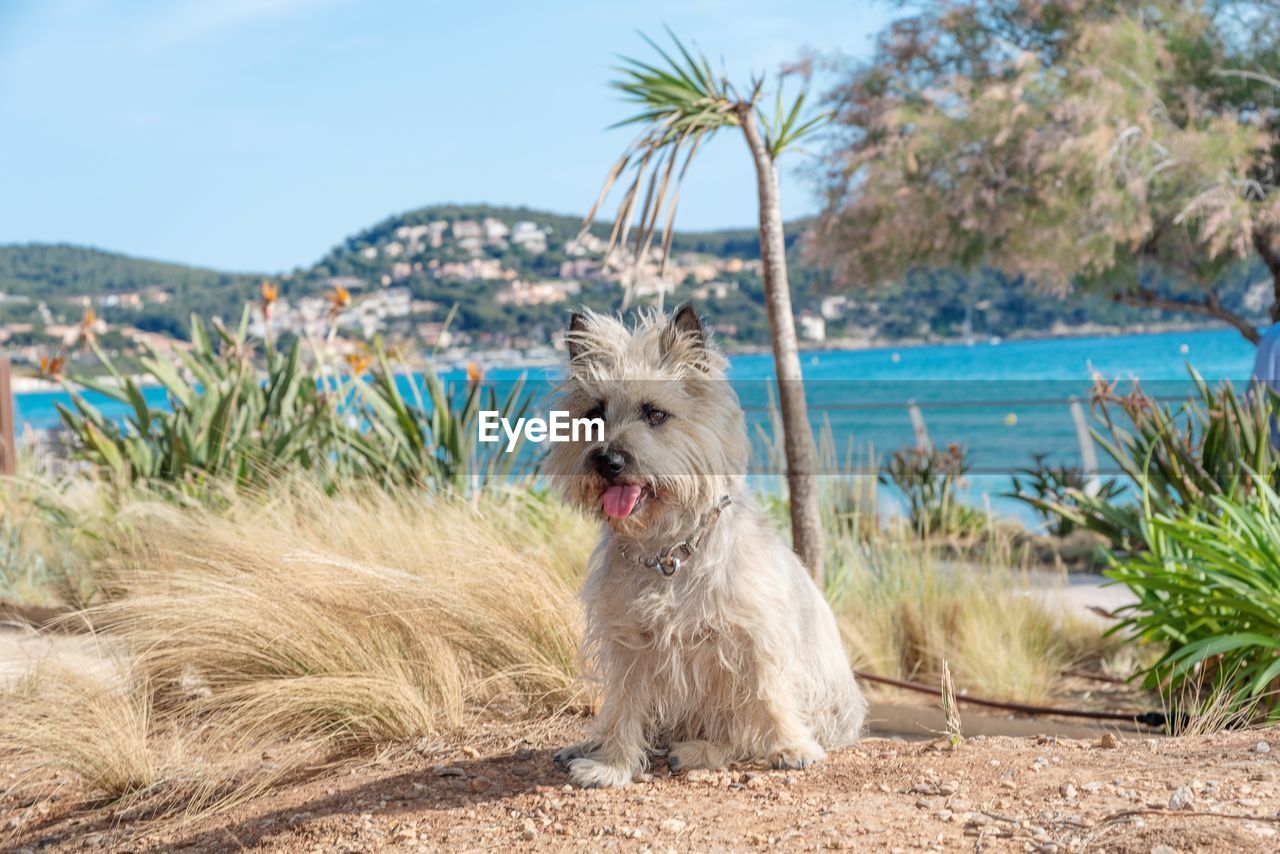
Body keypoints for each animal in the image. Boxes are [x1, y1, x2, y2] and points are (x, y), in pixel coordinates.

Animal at [545, 306, 865, 788]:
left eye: (655, 414)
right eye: (594, 414)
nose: (607, 460)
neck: (667, 553)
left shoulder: (754, 637)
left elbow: (767, 694)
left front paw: (792, 747)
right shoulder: (629, 644)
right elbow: (624, 707)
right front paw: (612, 764)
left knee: (740, 731)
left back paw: (700, 749)